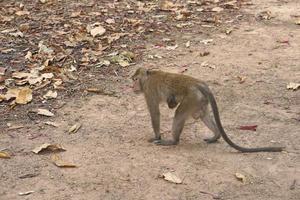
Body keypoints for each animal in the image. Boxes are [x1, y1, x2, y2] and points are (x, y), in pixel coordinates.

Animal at [131, 67, 284, 153]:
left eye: (135, 79)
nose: (132, 87)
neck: (147, 78)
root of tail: (198, 83)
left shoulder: (149, 91)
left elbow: (155, 113)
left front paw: (157, 137)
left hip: (192, 97)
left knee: (179, 114)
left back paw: (173, 141)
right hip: (199, 100)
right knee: (202, 115)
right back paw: (216, 135)